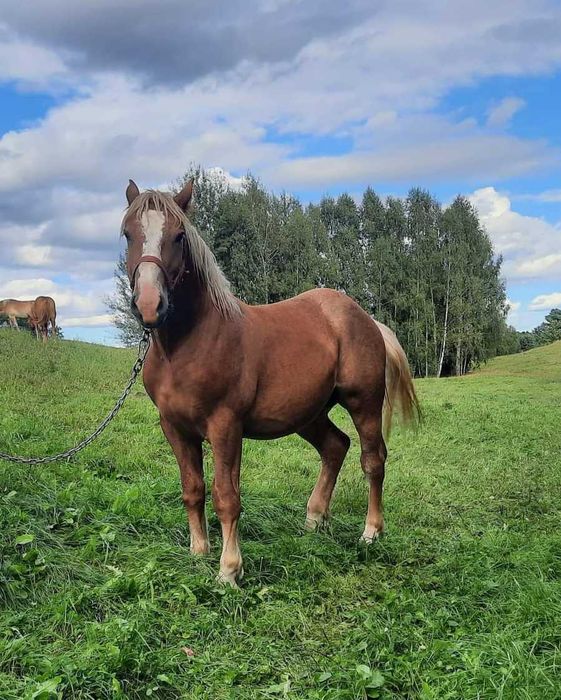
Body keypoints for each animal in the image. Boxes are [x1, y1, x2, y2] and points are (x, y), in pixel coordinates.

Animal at [122, 180, 420, 584]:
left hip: (364, 404)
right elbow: (193, 489)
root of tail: (366, 319)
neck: (187, 345)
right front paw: (198, 553)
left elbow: (226, 496)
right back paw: (314, 520)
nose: (150, 305)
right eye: (127, 234)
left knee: (373, 460)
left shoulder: (225, 427)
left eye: (179, 235)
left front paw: (229, 570)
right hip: (308, 414)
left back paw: (371, 531)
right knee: (335, 447)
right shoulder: (175, 428)